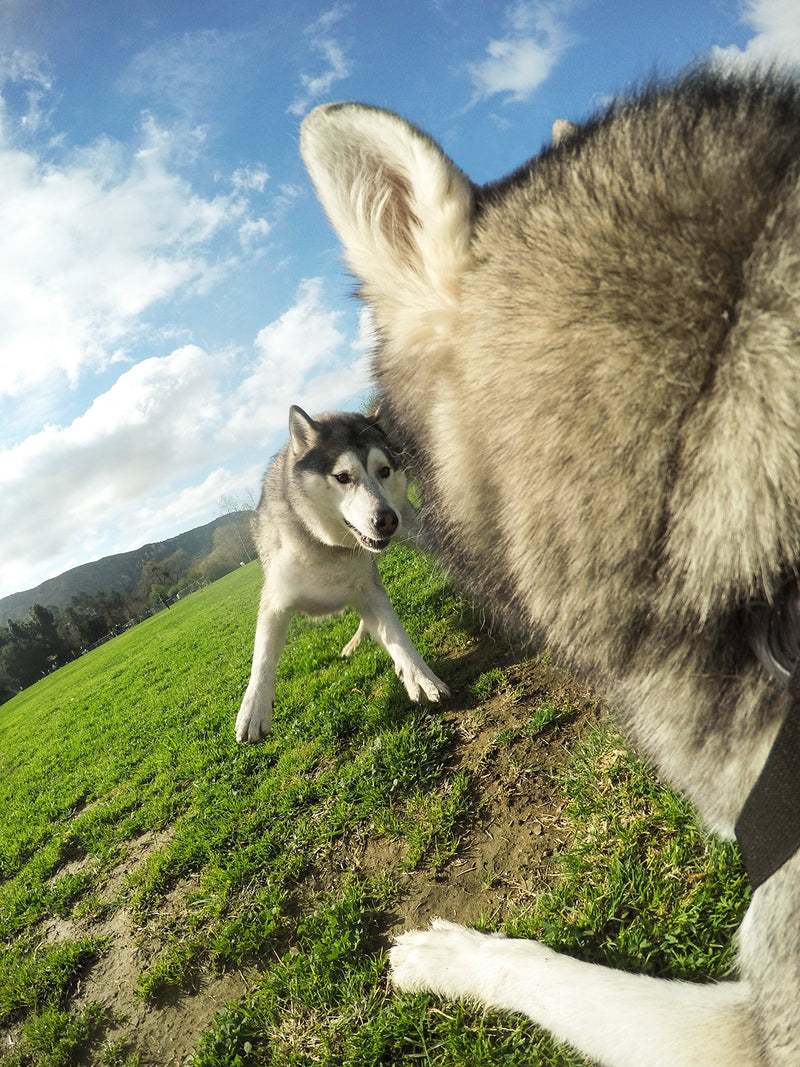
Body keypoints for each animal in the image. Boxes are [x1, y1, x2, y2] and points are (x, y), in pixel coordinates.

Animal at [236, 403, 452, 746]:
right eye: (342, 477)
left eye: (384, 471)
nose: (387, 520)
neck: (325, 547)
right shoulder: (275, 600)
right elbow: (263, 657)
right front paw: (254, 708)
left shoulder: (369, 589)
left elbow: (397, 634)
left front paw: (420, 677)